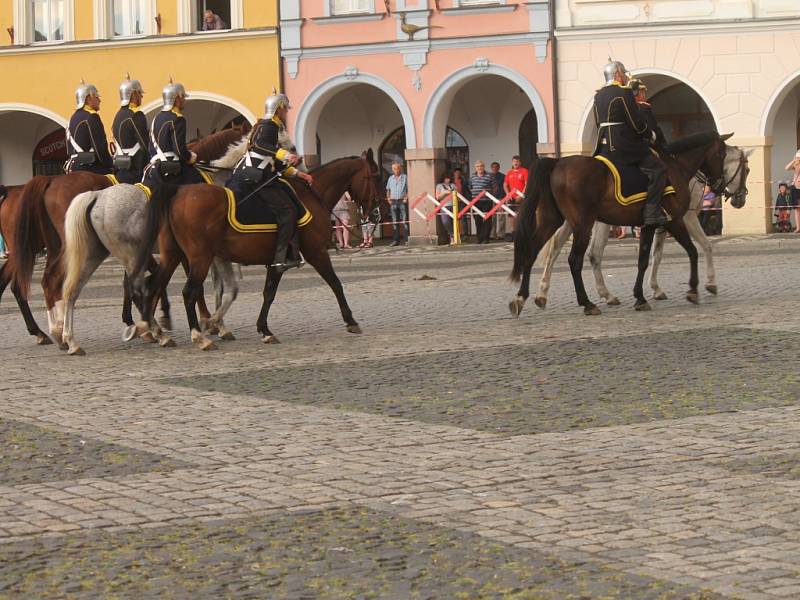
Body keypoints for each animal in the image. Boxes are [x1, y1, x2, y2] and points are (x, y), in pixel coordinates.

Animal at [134, 150, 384, 350]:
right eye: (376, 175)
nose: (377, 213)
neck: (311, 197)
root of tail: (178, 192)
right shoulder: (317, 253)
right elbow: (335, 284)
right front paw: (351, 321)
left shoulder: (275, 261)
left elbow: (268, 293)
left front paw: (263, 329)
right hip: (199, 258)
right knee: (188, 292)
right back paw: (198, 336)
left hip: (173, 255)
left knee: (154, 284)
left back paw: (154, 330)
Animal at [512, 132, 732, 318]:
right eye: (722, 154)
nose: (721, 185)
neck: (675, 167)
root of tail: (558, 162)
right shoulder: (675, 221)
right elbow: (692, 251)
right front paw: (693, 289)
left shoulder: (649, 226)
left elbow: (643, 260)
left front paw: (640, 297)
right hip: (582, 224)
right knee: (574, 260)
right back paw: (587, 303)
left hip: (553, 220)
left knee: (531, 252)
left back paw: (521, 298)